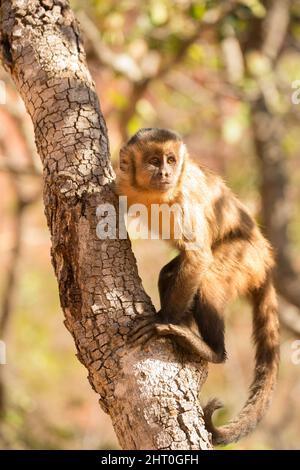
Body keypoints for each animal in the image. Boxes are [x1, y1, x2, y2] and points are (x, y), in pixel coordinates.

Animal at [116, 126, 280, 446]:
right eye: (154, 161)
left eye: (170, 159)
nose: (165, 172)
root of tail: (265, 259)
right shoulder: (123, 184)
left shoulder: (184, 200)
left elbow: (199, 256)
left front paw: (162, 320)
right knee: (170, 274)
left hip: (246, 257)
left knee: (209, 277)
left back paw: (210, 350)